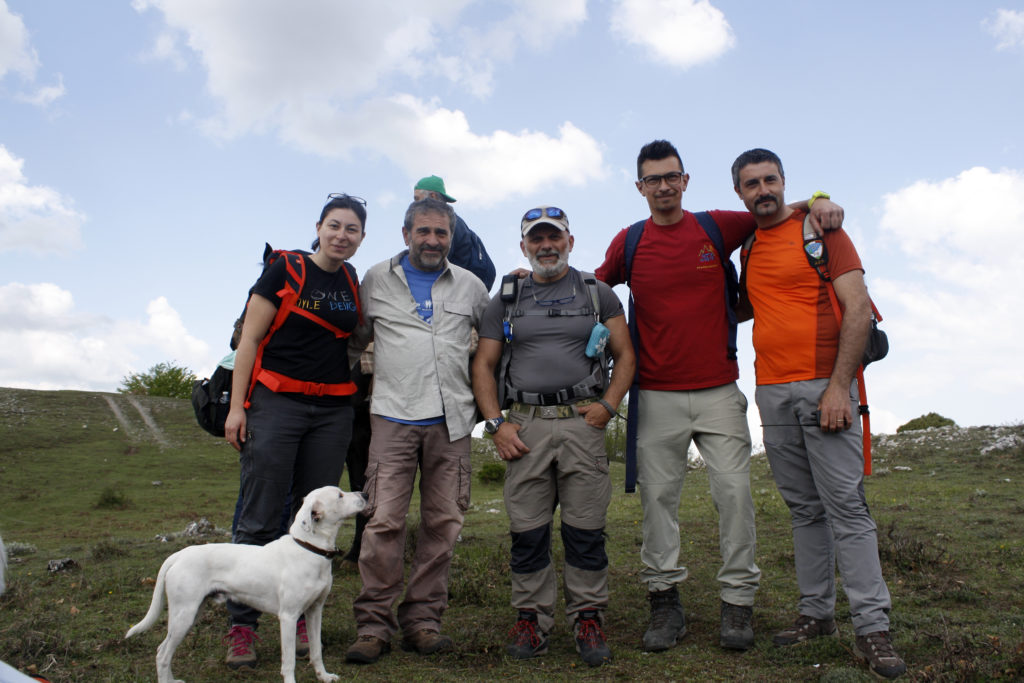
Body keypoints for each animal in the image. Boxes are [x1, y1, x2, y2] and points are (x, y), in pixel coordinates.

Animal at [125, 485, 364, 683]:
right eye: (340, 495)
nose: (365, 494)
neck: (308, 548)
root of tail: (179, 555)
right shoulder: (288, 617)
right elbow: (289, 662)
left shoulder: (315, 611)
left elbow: (316, 651)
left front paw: (324, 676)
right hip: (183, 615)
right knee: (162, 654)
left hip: (192, 613)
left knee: (164, 651)